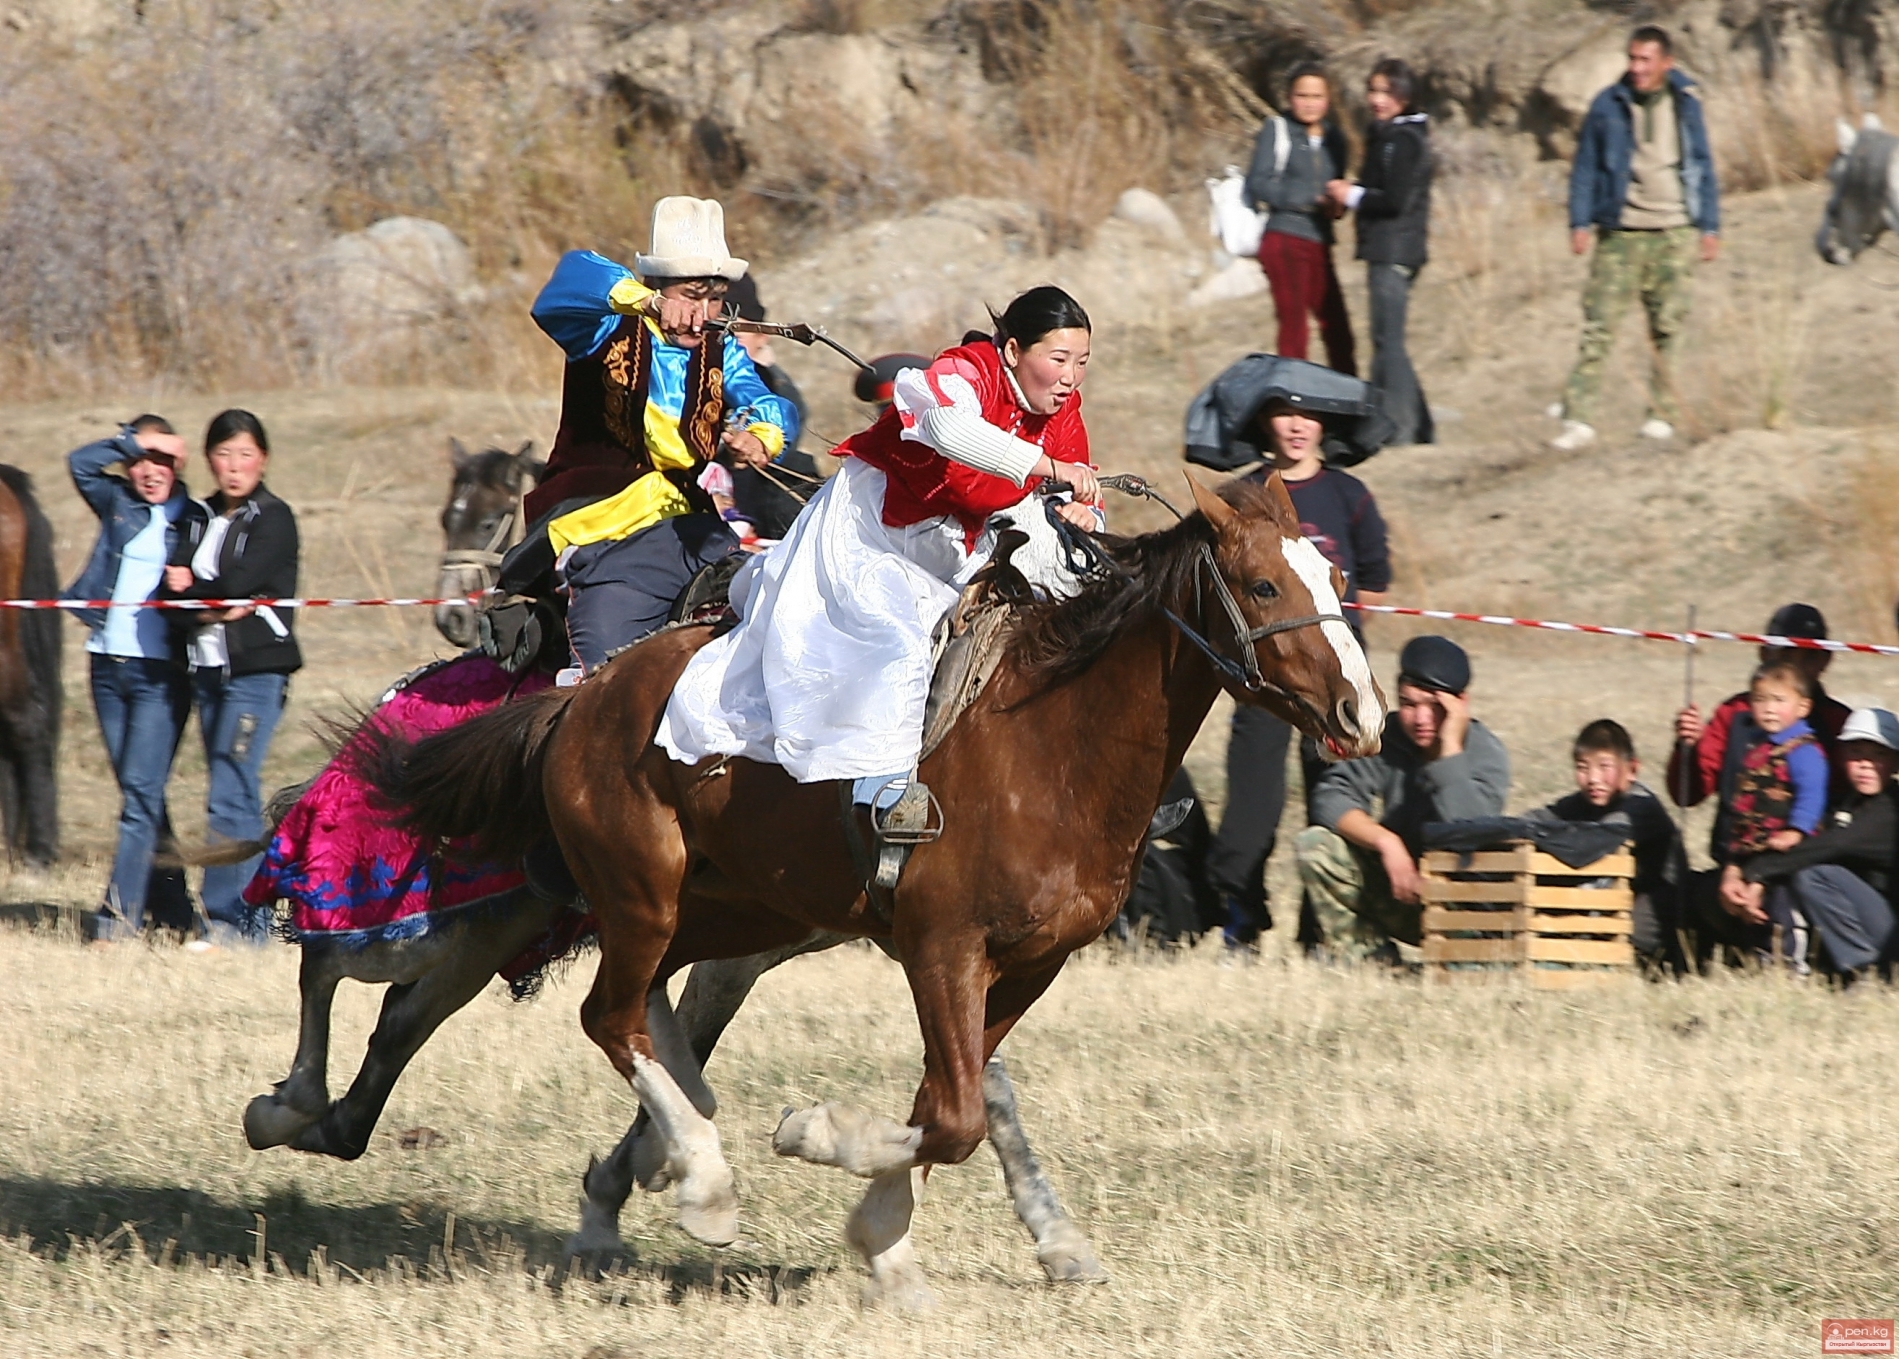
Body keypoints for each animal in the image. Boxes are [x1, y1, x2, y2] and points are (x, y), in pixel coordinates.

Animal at [374, 473, 1383, 1315]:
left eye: (1333, 574)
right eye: (1263, 588)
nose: (1363, 715)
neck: (1051, 743)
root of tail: (582, 696)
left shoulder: (1028, 965)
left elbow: (949, 1105)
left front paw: (889, 1242)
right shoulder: (942, 946)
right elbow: (956, 1113)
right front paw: (814, 1137)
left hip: (735, 906)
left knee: (657, 1007)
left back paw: (664, 1151)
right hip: (640, 895)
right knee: (610, 1017)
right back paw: (703, 1178)